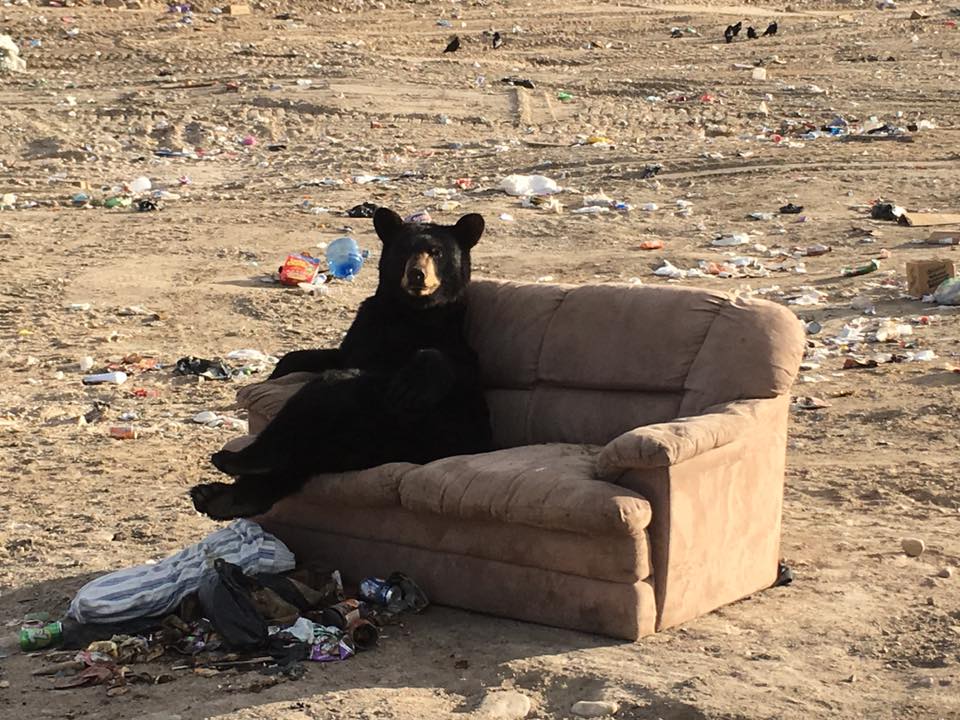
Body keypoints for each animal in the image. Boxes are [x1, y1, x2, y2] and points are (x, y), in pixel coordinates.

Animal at [190, 207, 492, 520]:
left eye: (437, 252)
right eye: (404, 250)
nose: (416, 274)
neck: (408, 311)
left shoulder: (448, 334)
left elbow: (456, 364)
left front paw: (415, 381)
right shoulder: (365, 327)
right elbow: (324, 355)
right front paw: (279, 369)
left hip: (397, 425)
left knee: (328, 396)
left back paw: (237, 464)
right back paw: (219, 495)